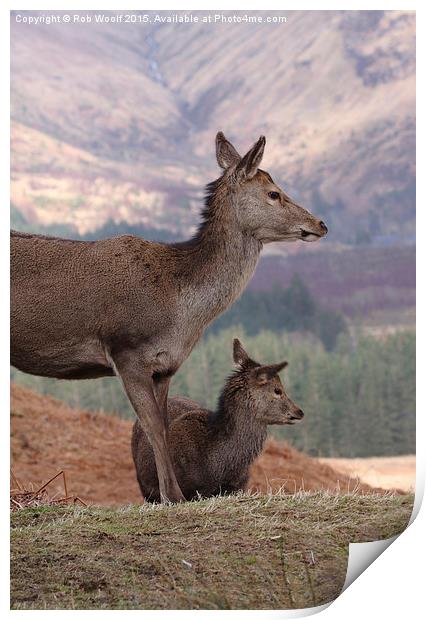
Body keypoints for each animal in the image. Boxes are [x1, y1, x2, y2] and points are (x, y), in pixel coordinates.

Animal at [11, 133, 328, 502]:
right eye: (274, 193)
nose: (320, 224)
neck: (181, 310)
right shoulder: (126, 350)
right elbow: (152, 428)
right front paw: (171, 496)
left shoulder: (166, 366)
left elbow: (162, 424)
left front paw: (170, 492)